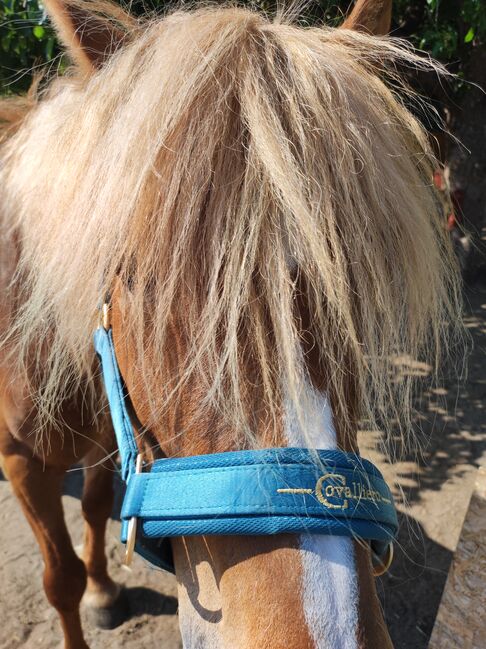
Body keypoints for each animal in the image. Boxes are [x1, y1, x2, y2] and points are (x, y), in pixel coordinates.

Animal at [0, 1, 464, 648]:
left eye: (352, 282)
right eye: (136, 277)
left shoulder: (110, 440)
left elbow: (95, 511)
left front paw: (103, 590)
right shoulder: (22, 459)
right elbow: (60, 579)